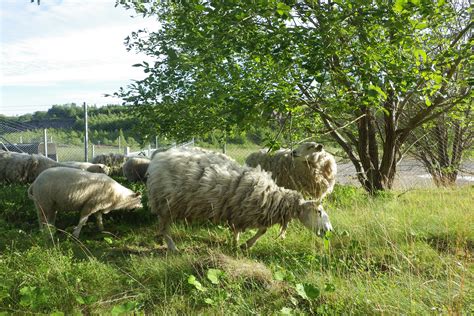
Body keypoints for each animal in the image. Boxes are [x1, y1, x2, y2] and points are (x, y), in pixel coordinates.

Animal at [146, 146, 332, 252]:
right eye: (318, 211)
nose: (329, 230)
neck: (274, 197)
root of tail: (158, 157)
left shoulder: (245, 211)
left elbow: (260, 230)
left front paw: (241, 245)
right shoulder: (242, 210)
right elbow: (254, 230)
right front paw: (241, 245)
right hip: (165, 203)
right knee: (164, 228)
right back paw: (172, 247)